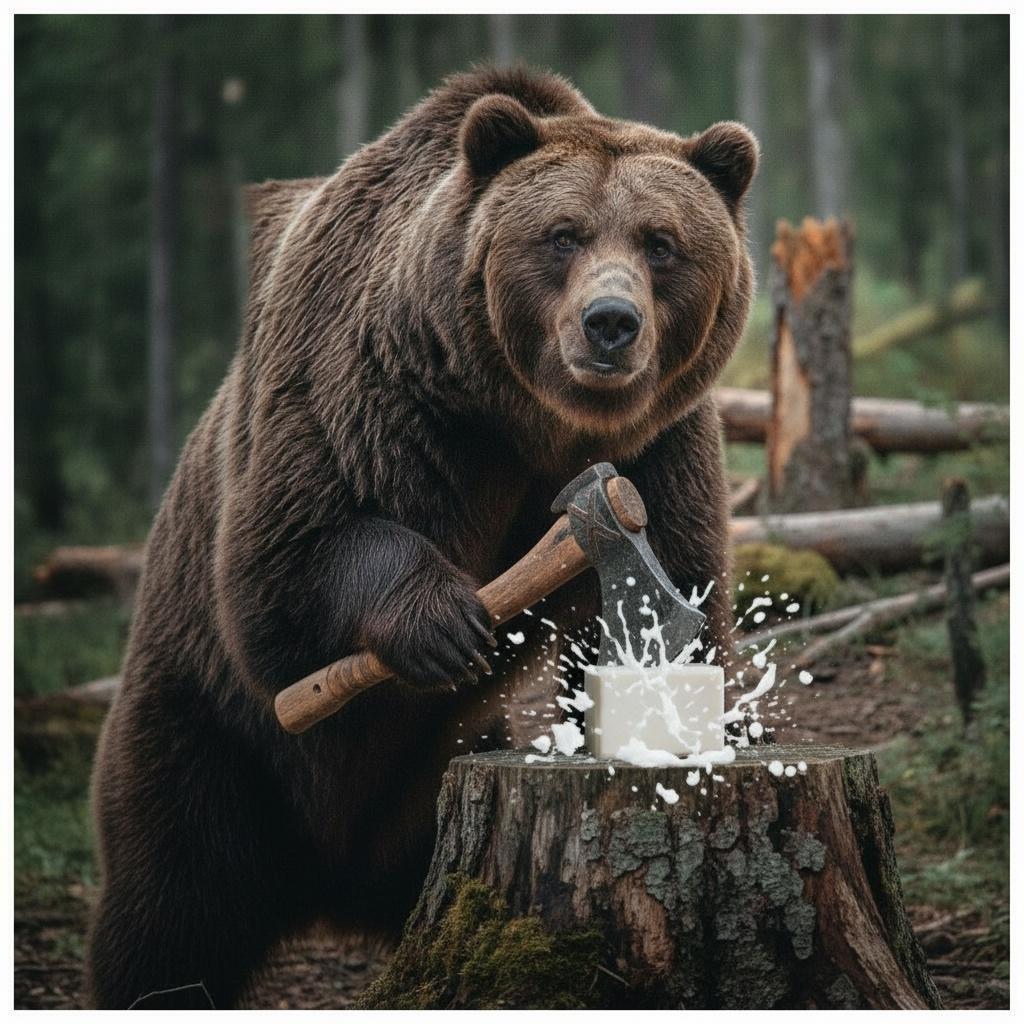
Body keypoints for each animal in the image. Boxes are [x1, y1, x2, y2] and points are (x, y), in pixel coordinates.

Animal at [85, 65, 758, 1008]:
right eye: (562, 235)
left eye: (661, 243)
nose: (610, 323)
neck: (534, 424)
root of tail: (328, 884)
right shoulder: (374, 386)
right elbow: (292, 553)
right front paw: (443, 623)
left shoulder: (659, 450)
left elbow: (675, 590)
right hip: (204, 728)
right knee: (172, 905)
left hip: (433, 786)